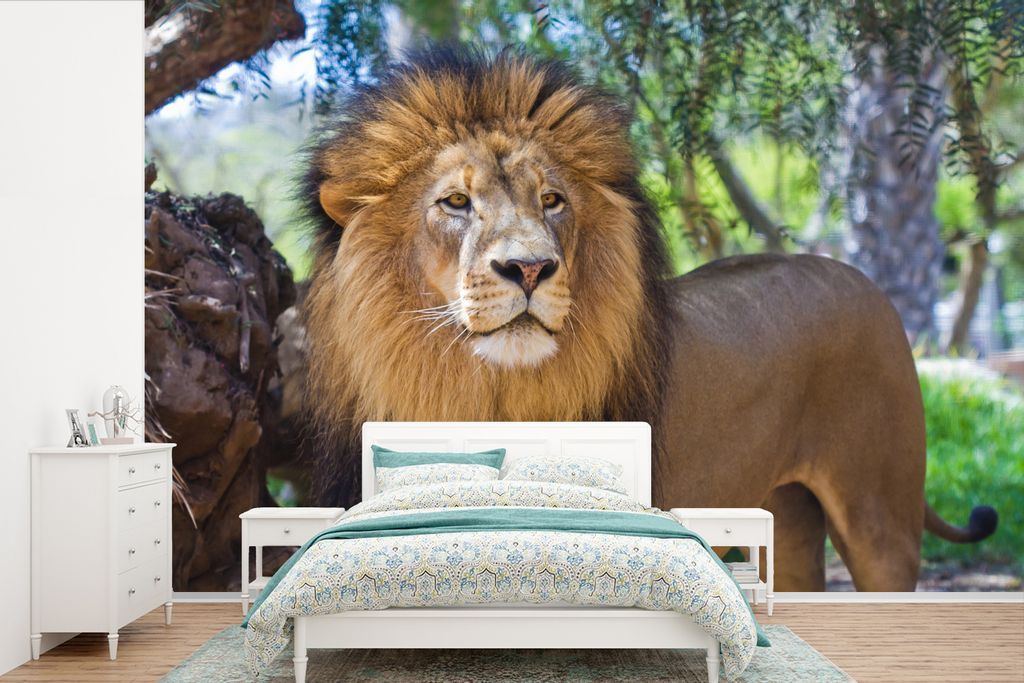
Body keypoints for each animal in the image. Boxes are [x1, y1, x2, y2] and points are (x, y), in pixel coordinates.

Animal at [297, 48, 997, 591]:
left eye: (552, 200)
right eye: (456, 202)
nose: (530, 269)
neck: (480, 392)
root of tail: (856, 277)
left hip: (881, 515)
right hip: (789, 516)